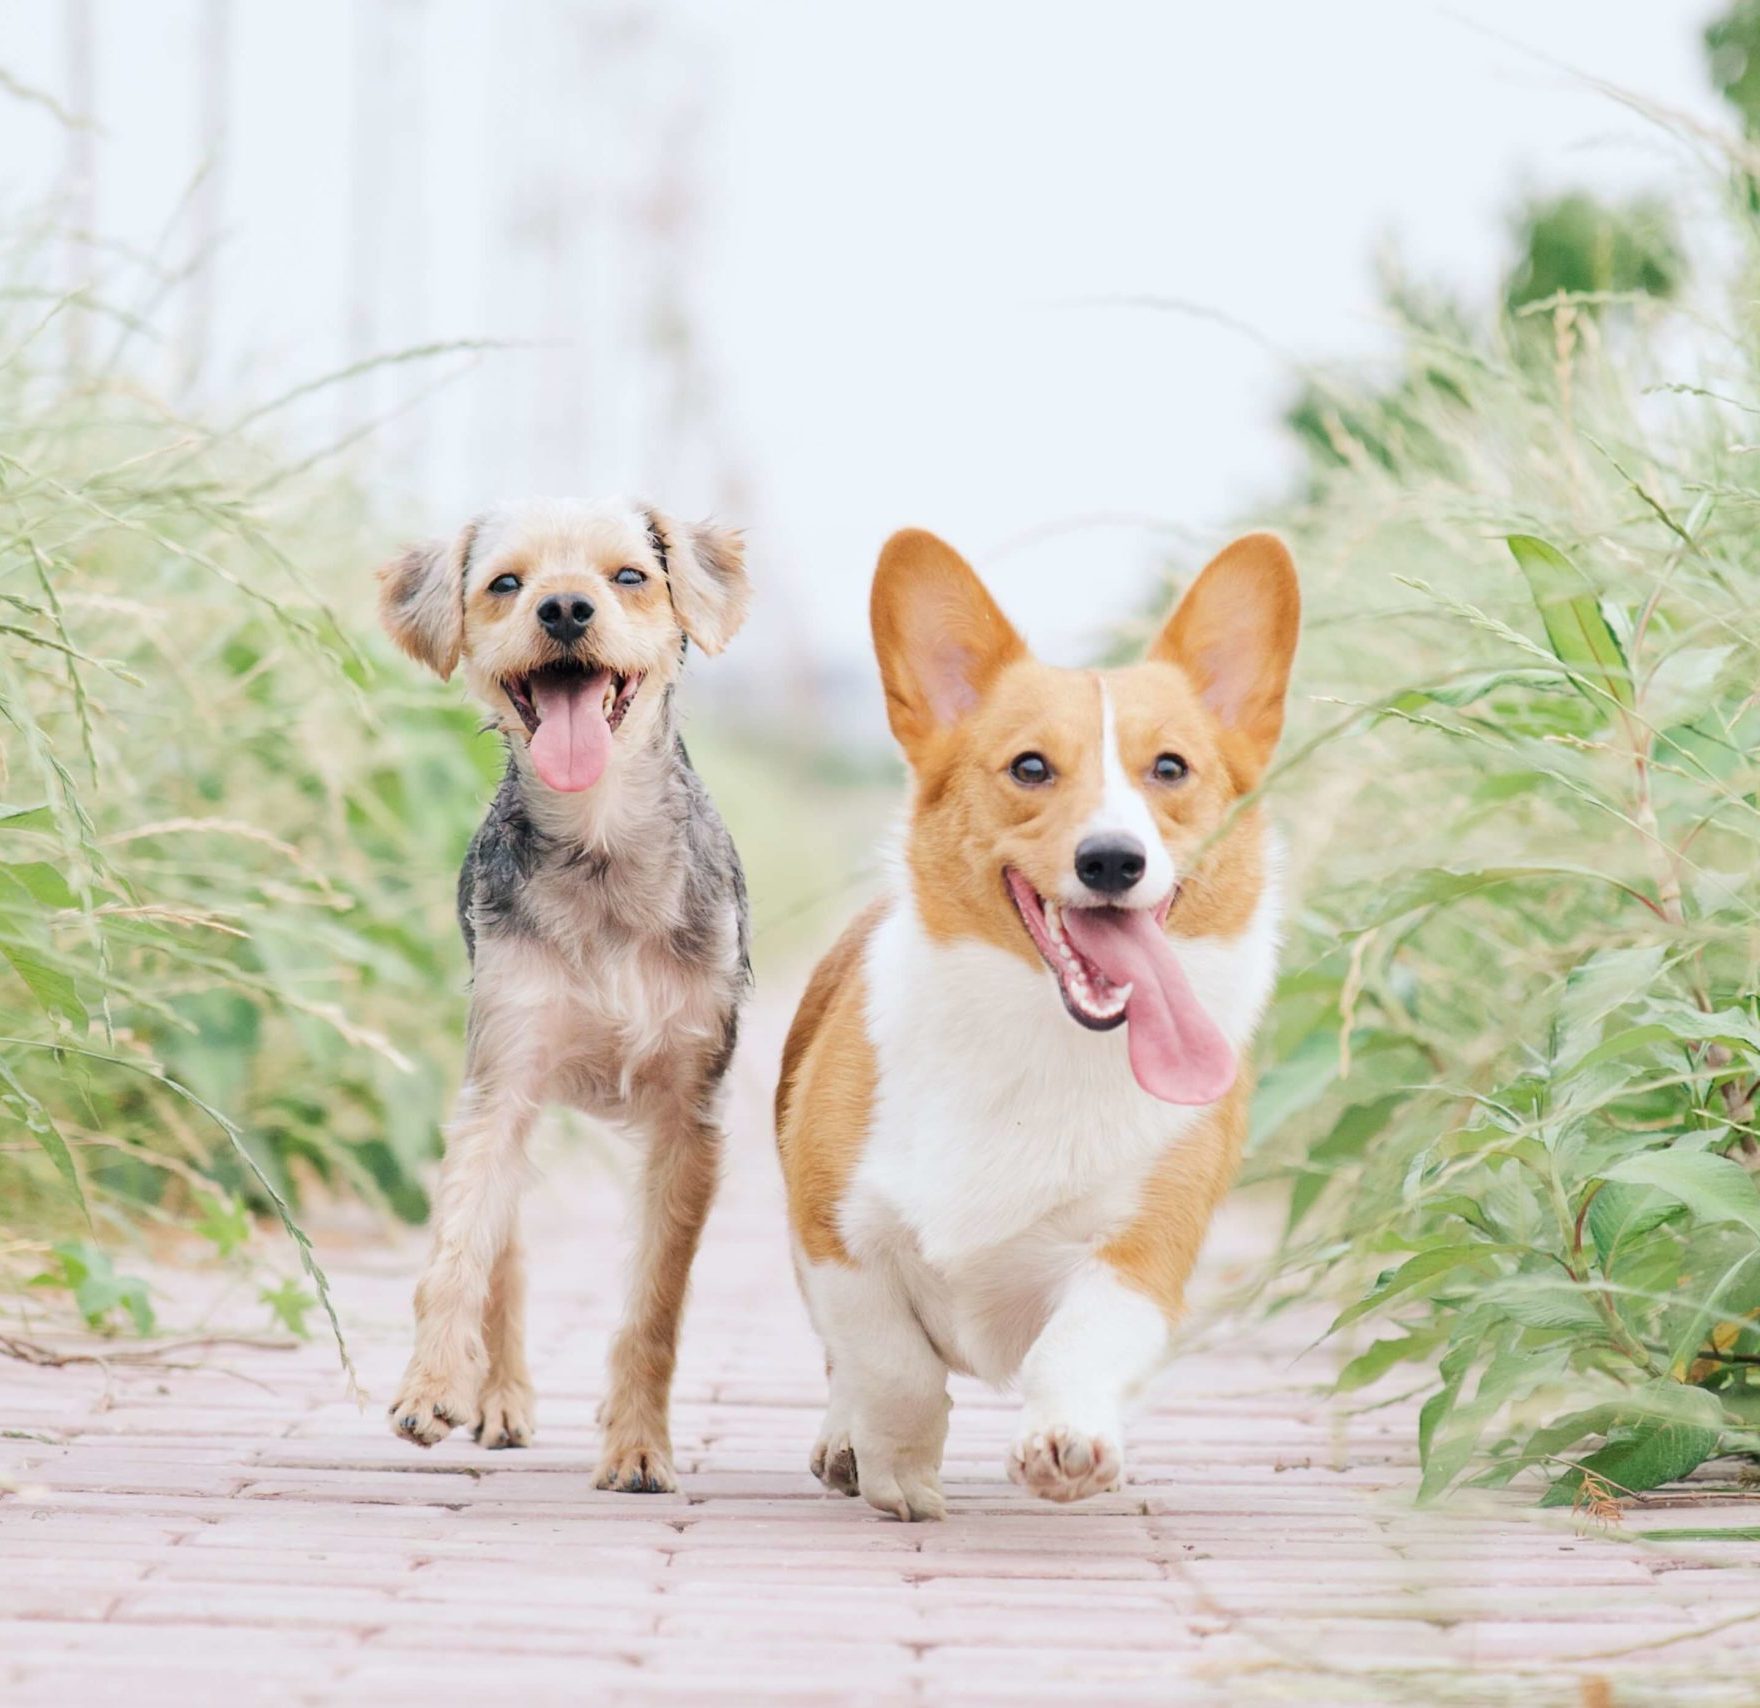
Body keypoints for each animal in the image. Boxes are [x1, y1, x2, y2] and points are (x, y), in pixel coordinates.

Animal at [378, 496, 749, 1493]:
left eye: (630, 576)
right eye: (506, 583)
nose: (566, 609)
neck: (600, 842)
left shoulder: (687, 1118)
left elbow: (656, 1303)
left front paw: (638, 1446)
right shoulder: (501, 1077)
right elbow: (458, 1252)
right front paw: (433, 1384)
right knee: (501, 1252)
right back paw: (496, 1397)